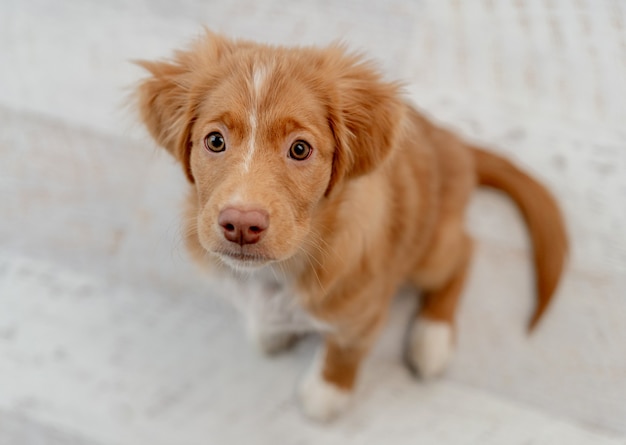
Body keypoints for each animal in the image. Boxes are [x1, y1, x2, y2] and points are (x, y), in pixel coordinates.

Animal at [135, 30, 564, 420]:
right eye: (215, 141)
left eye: (300, 149)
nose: (241, 224)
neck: (281, 270)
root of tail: (455, 142)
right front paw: (271, 332)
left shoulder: (365, 314)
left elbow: (344, 350)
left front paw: (327, 392)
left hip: (432, 250)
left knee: (465, 251)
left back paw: (432, 337)